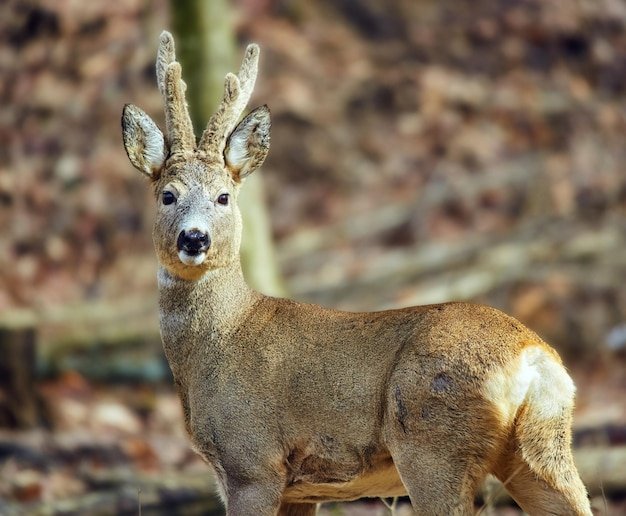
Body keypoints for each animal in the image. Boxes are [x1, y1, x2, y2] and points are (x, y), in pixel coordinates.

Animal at [120, 32, 588, 516]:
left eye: (224, 197)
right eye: (168, 195)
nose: (194, 238)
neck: (220, 340)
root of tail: (533, 357)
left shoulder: (251, 461)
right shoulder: (300, 489)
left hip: (433, 443)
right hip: (541, 448)